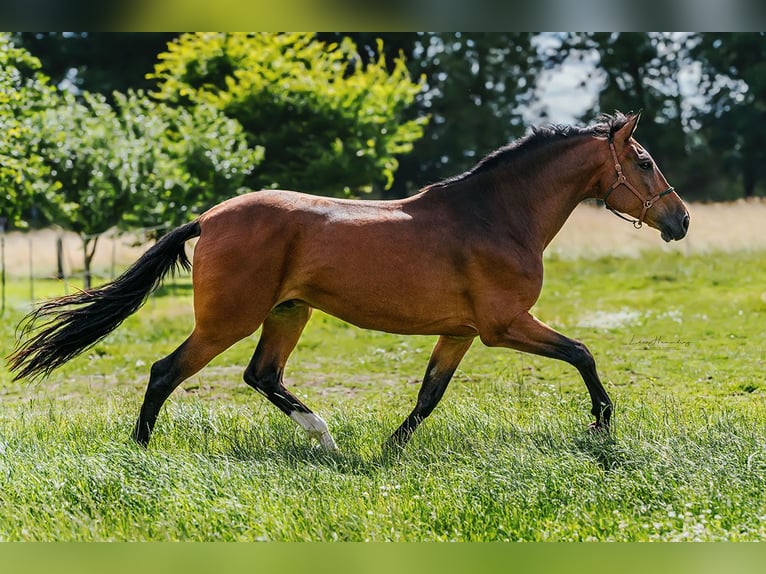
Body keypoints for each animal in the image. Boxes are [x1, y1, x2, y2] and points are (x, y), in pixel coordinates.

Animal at [6, 112, 688, 452]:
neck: (494, 216)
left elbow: (429, 395)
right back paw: (141, 452)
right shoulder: (503, 326)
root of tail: (209, 216)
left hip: (288, 313)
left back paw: (327, 439)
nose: (680, 219)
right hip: (229, 319)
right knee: (165, 371)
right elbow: (583, 352)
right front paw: (602, 428)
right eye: (644, 161)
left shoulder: (463, 332)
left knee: (262, 375)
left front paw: (390, 449)